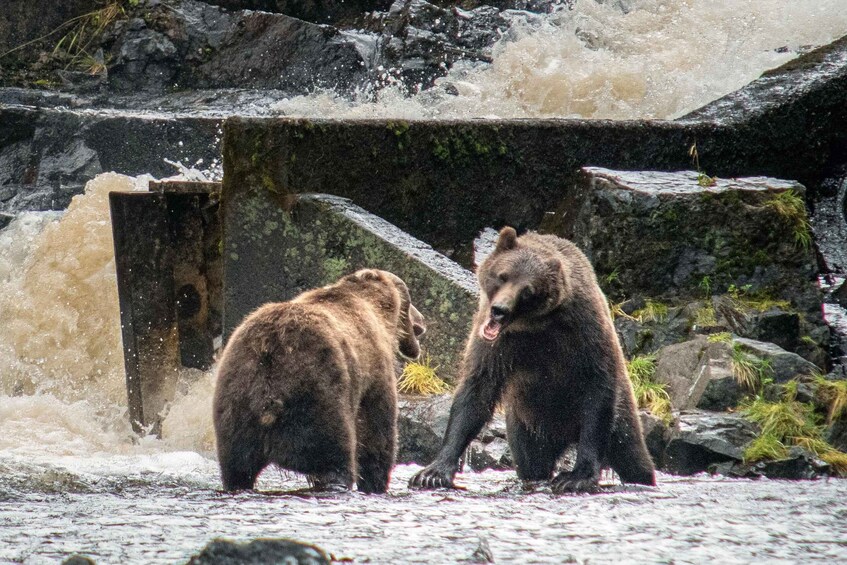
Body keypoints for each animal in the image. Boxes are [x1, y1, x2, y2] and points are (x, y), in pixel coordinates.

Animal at [213, 269, 425, 493]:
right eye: (410, 303)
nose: (422, 321)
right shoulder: (374, 369)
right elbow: (377, 432)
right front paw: (375, 482)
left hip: (236, 400)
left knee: (237, 469)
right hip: (318, 391)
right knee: (333, 455)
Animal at [409, 227, 655, 493]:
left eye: (527, 290)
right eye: (503, 276)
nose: (499, 310)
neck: (535, 325)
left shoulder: (583, 334)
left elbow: (597, 390)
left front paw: (576, 477)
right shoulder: (498, 345)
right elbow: (475, 392)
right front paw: (432, 473)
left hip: (621, 419)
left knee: (633, 457)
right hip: (527, 425)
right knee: (531, 462)